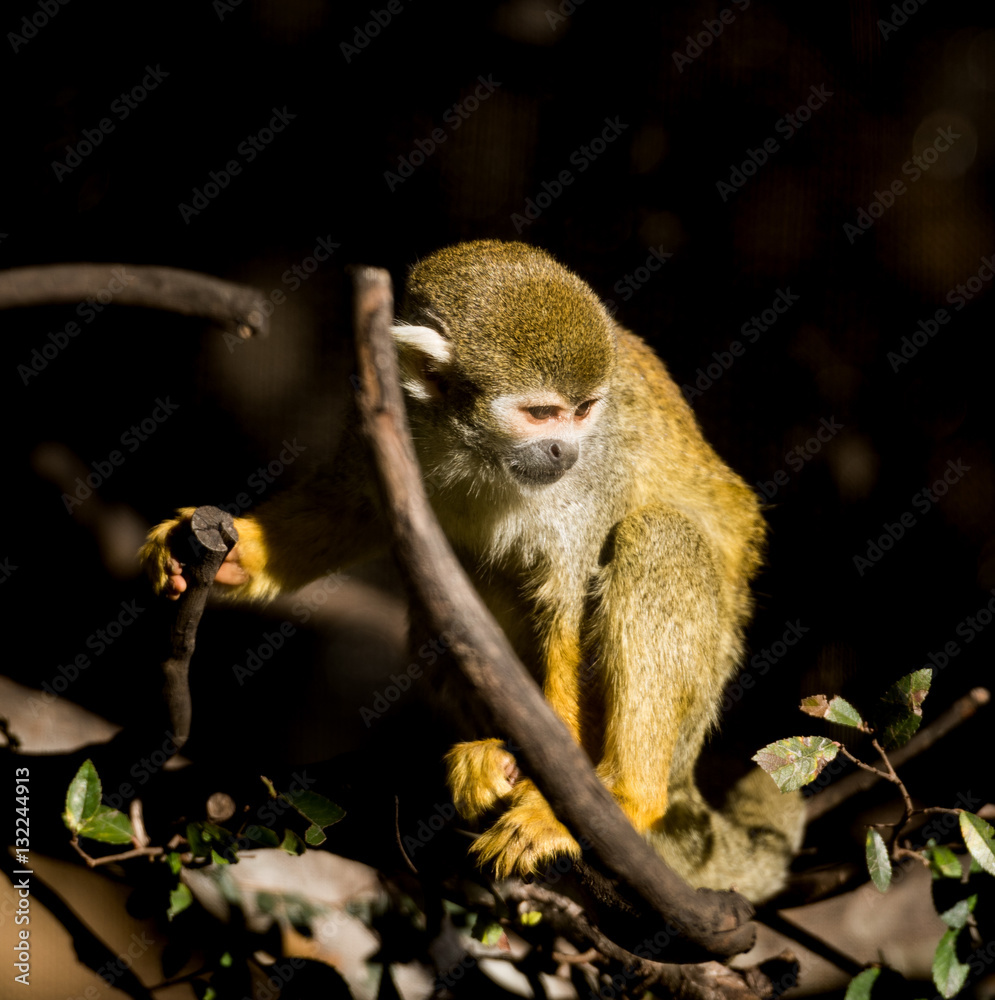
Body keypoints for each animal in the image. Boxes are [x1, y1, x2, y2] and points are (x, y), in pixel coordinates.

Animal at [141, 239, 805, 902]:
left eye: (584, 410)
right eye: (541, 413)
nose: (565, 450)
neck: (474, 445)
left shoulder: (598, 468)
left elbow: (567, 616)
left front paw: (554, 807)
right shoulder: (382, 408)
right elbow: (347, 510)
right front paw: (226, 556)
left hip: (700, 705)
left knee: (657, 535)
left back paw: (622, 797)